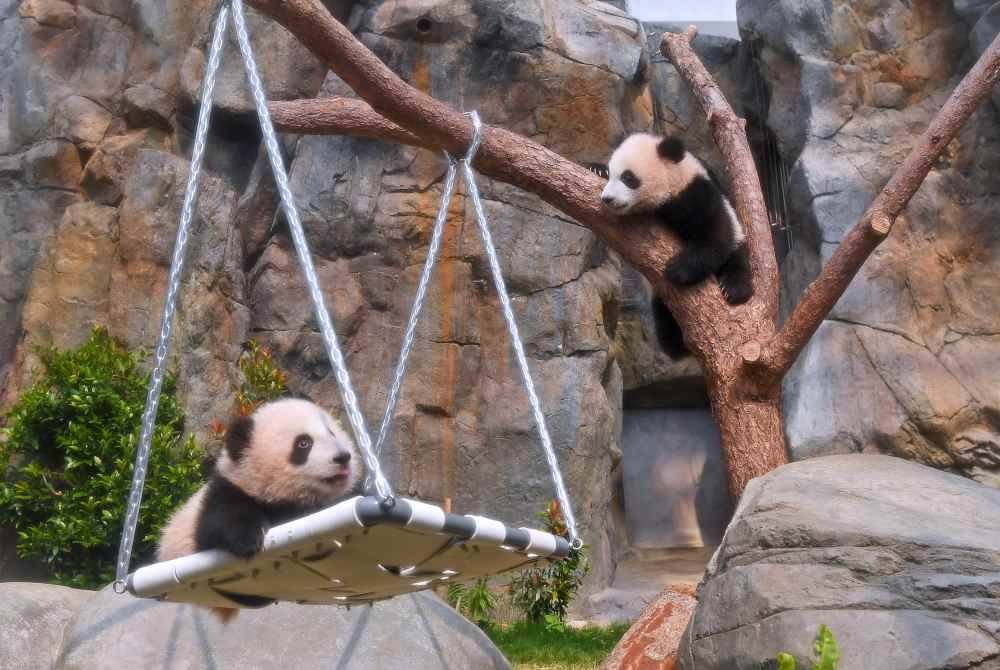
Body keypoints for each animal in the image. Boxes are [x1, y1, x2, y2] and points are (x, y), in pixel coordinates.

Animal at [156, 397, 364, 621]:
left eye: (332, 433)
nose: (343, 457)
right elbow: (221, 521)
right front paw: (248, 540)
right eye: (303, 443)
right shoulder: (227, 491)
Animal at [596, 133, 753, 358]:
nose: (607, 198)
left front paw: (677, 269)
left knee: (736, 258)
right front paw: (596, 169)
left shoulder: (697, 195)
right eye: (611, 174)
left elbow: (716, 236)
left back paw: (734, 289)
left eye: (628, 178)